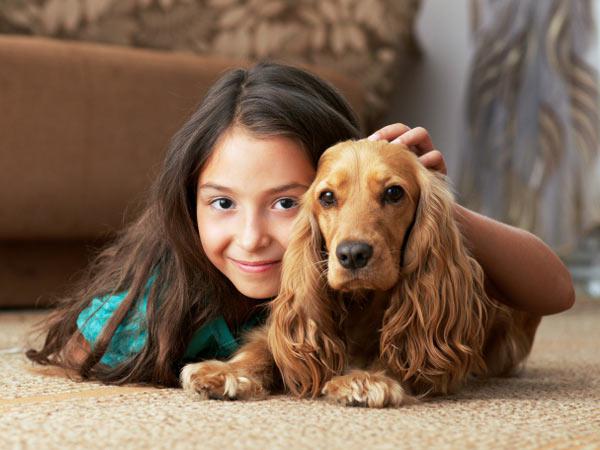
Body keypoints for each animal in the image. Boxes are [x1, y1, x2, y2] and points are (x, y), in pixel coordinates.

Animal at [180, 139, 540, 406]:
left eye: (394, 192)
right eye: (326, 197)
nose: (352, 254)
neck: (360, 304)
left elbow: (398, 352)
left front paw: (364, 380)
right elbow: (262, 349)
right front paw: (225, 372)